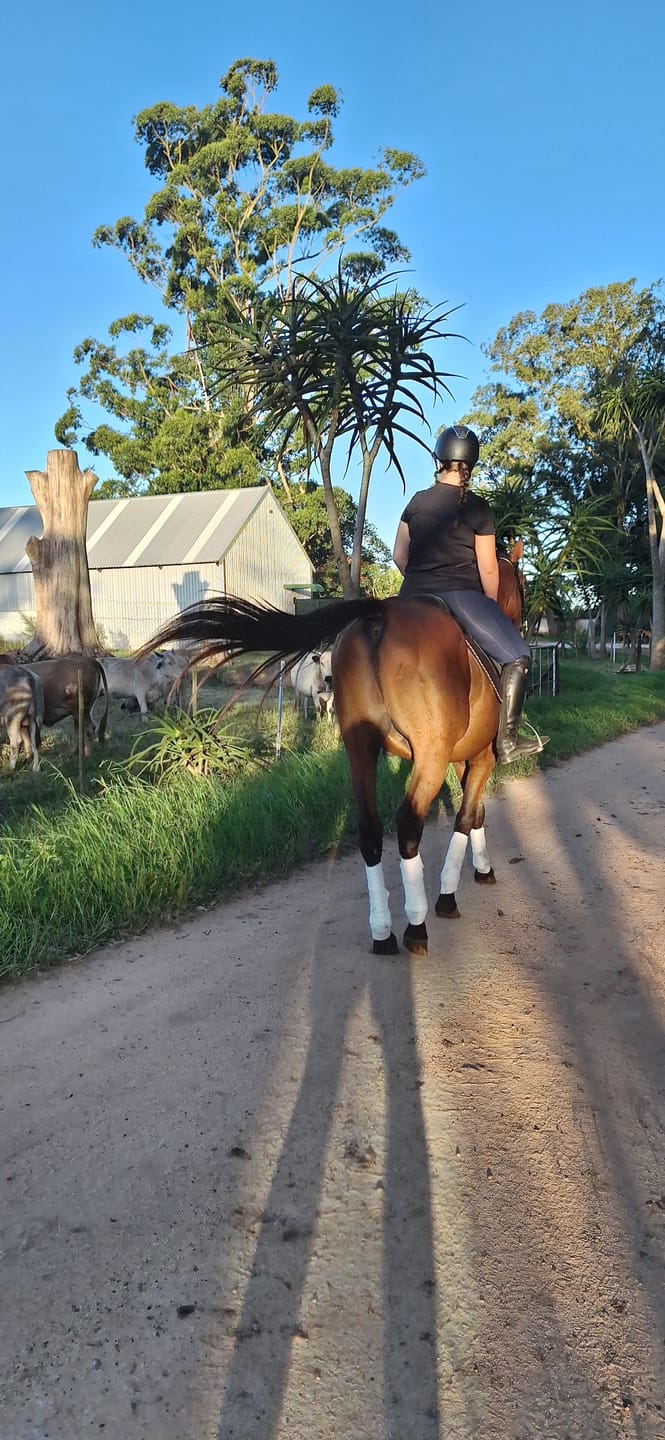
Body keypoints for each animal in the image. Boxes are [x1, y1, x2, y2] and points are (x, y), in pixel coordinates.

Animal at [142, 541, 526, 957]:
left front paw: (482, 868)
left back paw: (382, 932)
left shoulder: (466, 758)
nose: (519, 621)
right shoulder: (481, 757)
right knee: (407, 825)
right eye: (521, 586)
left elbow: (476, 812)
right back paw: (416, 926)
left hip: (360, 747)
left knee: (369, 829)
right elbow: (466, 816)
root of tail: (380, 614)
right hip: (429, 753)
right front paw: (450, 894)